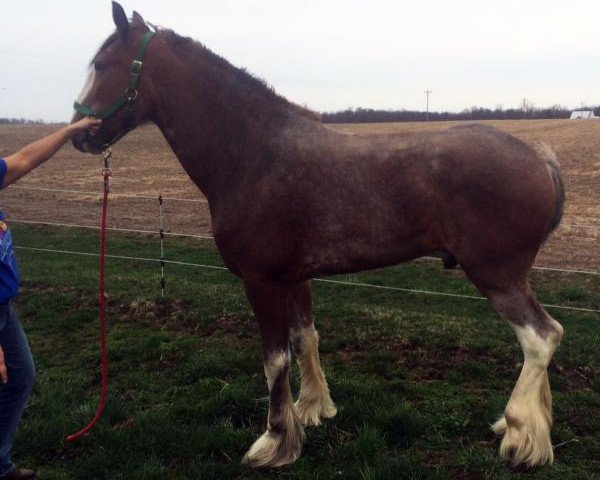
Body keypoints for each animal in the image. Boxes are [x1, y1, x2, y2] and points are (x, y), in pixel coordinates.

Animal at [71, 2, 568, 468]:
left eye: (103, 65)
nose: (79, 135)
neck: (255, 154)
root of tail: (538, 156)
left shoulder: (262, 282)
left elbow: (274, 359)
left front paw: (275, 440)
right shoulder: (294, 278)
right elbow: (304, 338)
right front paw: (312, 409)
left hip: (497, 275)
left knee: (541, 337)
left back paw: (521, 436)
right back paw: (525, 424)